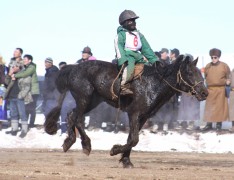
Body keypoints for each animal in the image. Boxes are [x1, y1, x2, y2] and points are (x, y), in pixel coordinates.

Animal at [44, 54, 208, 167]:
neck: (154, 83)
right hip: (84, 98)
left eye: (200, 73)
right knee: (77, 118)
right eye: (190, 73)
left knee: (71, 115)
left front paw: (126, 160)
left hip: (93, 101)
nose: (205, 93)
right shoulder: (134, 113)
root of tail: (72, 68)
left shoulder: (143, 117)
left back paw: (69, 141)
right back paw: (86, 145)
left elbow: (131, 139)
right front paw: (115, 150)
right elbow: (134, 139)